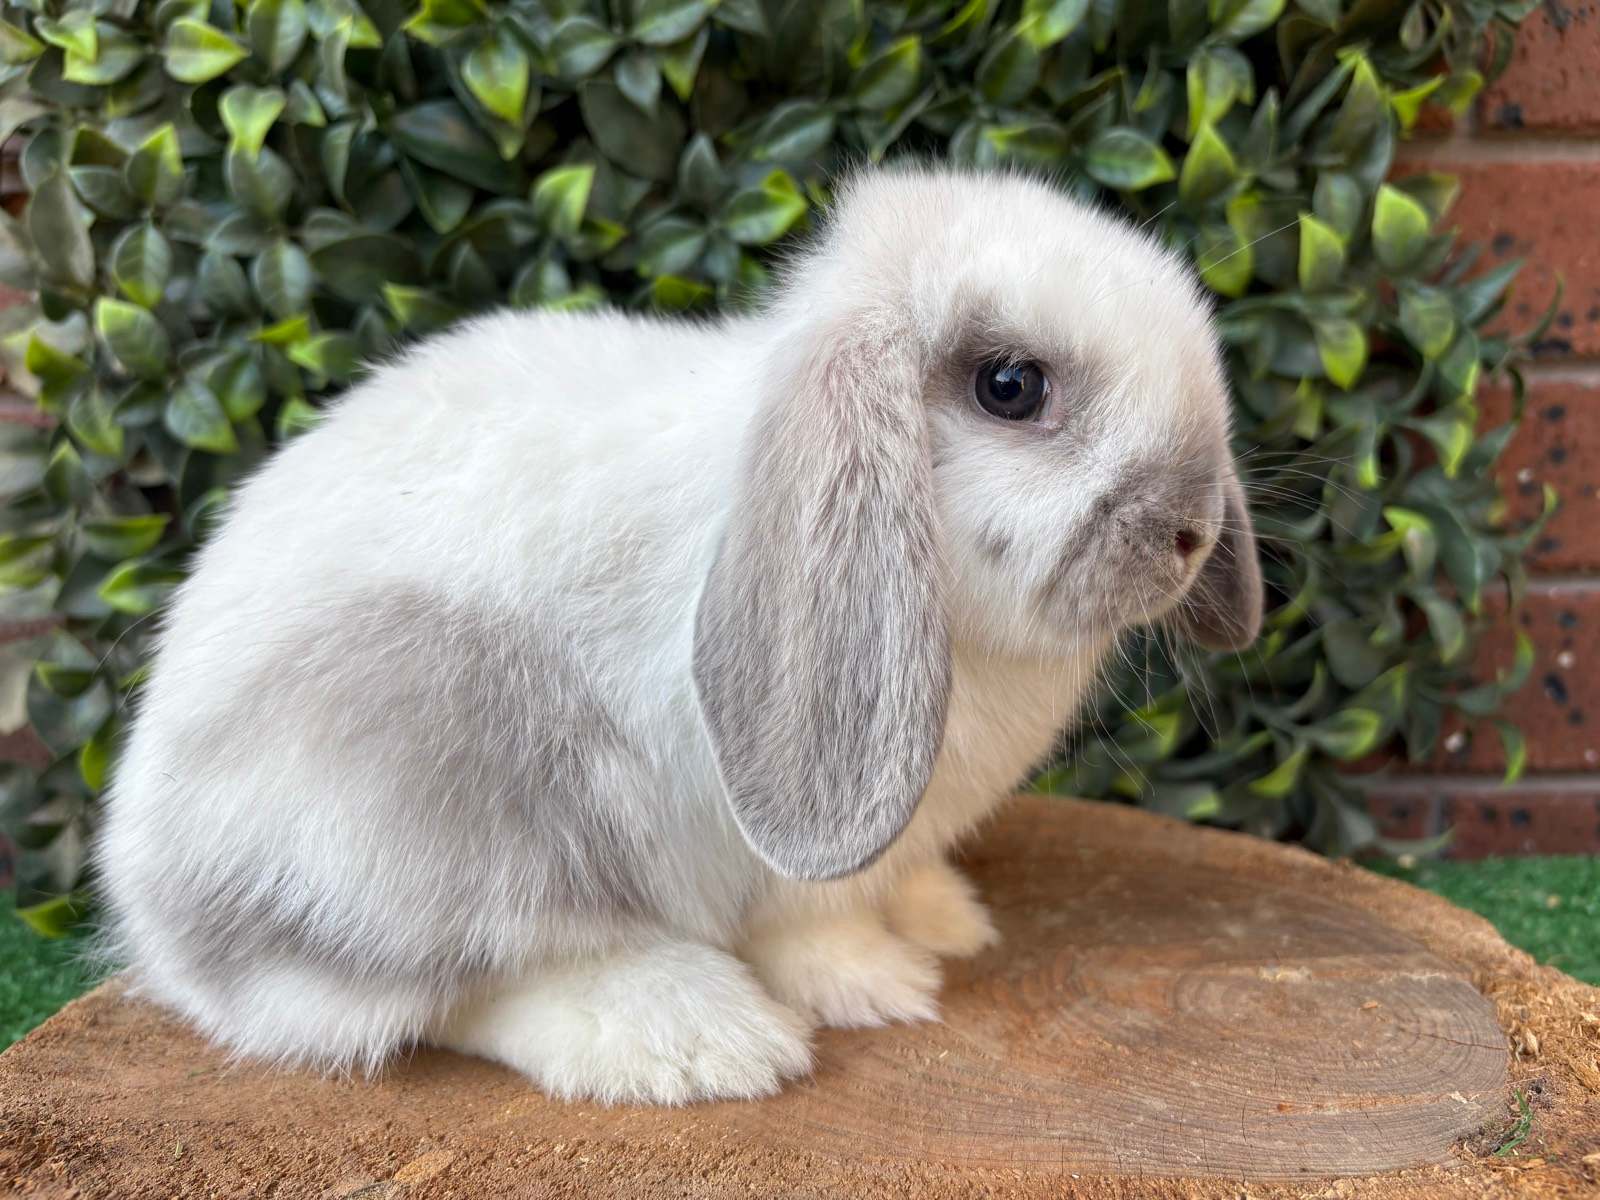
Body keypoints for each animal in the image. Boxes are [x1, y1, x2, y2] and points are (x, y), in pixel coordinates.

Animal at [97, 166, 1262, 1106]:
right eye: (1010, 386)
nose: (1190, 532)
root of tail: (157, 911)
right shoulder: (788, 852)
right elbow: (811, 926)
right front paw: (880, 984)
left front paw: (943, 918)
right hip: (451, 782)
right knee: (452, 988)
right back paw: (699, 1040)